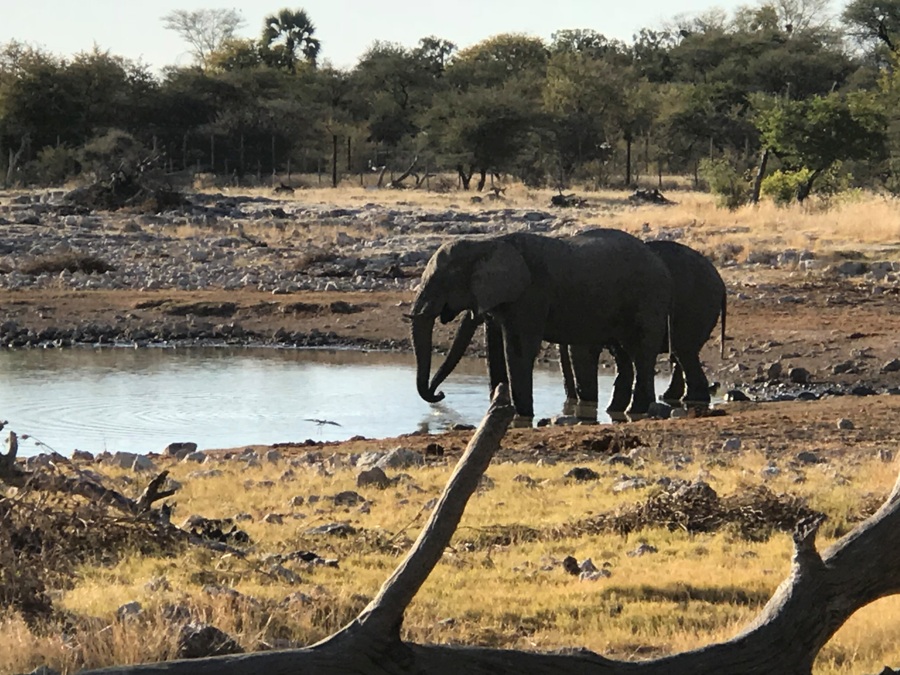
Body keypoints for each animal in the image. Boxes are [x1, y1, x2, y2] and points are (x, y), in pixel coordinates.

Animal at [426, 238, 728, 418]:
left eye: (446, 282)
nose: (438, 394)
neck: (488, 244)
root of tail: (721, 281)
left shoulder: (535, 295)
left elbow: (535, 349)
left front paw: (523, 415)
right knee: (659, 355)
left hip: (671, 301)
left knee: (672, 351)